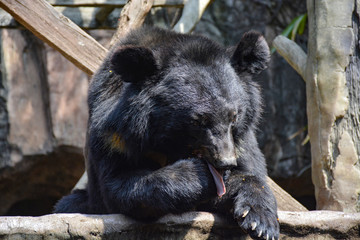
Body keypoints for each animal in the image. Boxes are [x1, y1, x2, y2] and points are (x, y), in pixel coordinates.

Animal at [54, 26, 278, 240]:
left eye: (234, 117)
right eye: (198, 121)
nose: (225, 162)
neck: (169, 142)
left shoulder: (241, 140)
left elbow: (248, 173)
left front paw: (261, 223)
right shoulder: (115, 135)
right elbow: (119, 185)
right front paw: (198, 174)